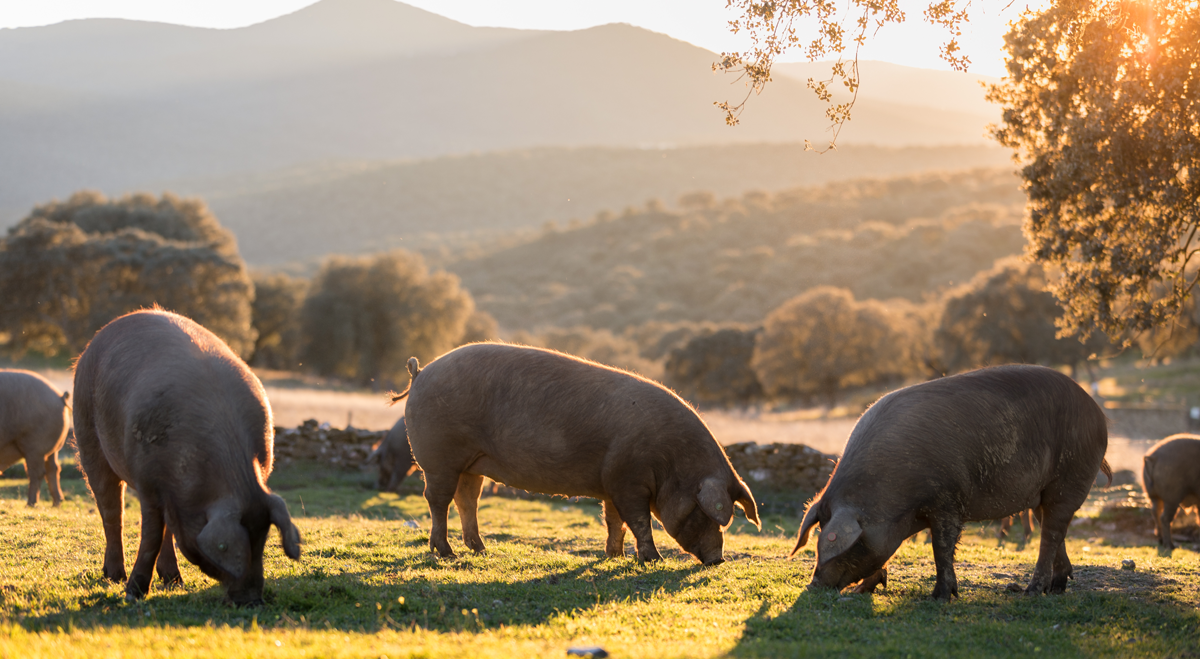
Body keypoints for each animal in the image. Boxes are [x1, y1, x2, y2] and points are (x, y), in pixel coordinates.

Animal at [0, 370, 71, 507]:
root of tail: (60, 397)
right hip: (52, 449)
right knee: (53, 469)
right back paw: (56, 503)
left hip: (35, 446)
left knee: (36, 473)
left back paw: (30, 504)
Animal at [72, 309, 301, 604]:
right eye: (237, 548)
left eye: (262, 541)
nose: (252, 600)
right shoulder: (148, 482)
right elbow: (151, 536)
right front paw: (133, 595)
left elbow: (163, 532)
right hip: (87, 433)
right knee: (111, 511)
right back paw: (114, 577)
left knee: (164, 527)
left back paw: (174, 581)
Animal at [392, 343, 760, 565]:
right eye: (705, 512)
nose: (718, 559)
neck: (670, 462)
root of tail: (420, 372)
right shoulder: (628, 479)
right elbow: (639, 521)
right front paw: (653, 560)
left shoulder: (611, 481)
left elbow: (614, 521)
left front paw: (615, 557)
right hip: (438, 457)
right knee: (437, 499)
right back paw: (447, 554)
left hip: (472, 464)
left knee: (467, 499)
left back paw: (481, 551)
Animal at [792, 364, 1110, 600]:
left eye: (850, 545)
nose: (813, 585)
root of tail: (1098, 412)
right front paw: (863, 590)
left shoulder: (947, 501)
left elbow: (941, 547)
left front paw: (941, 597)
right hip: (1042, 493)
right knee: (1052, 528)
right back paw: (1056, 588)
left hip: (1070, 477)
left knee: (1052, 532)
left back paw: (1032, 592)